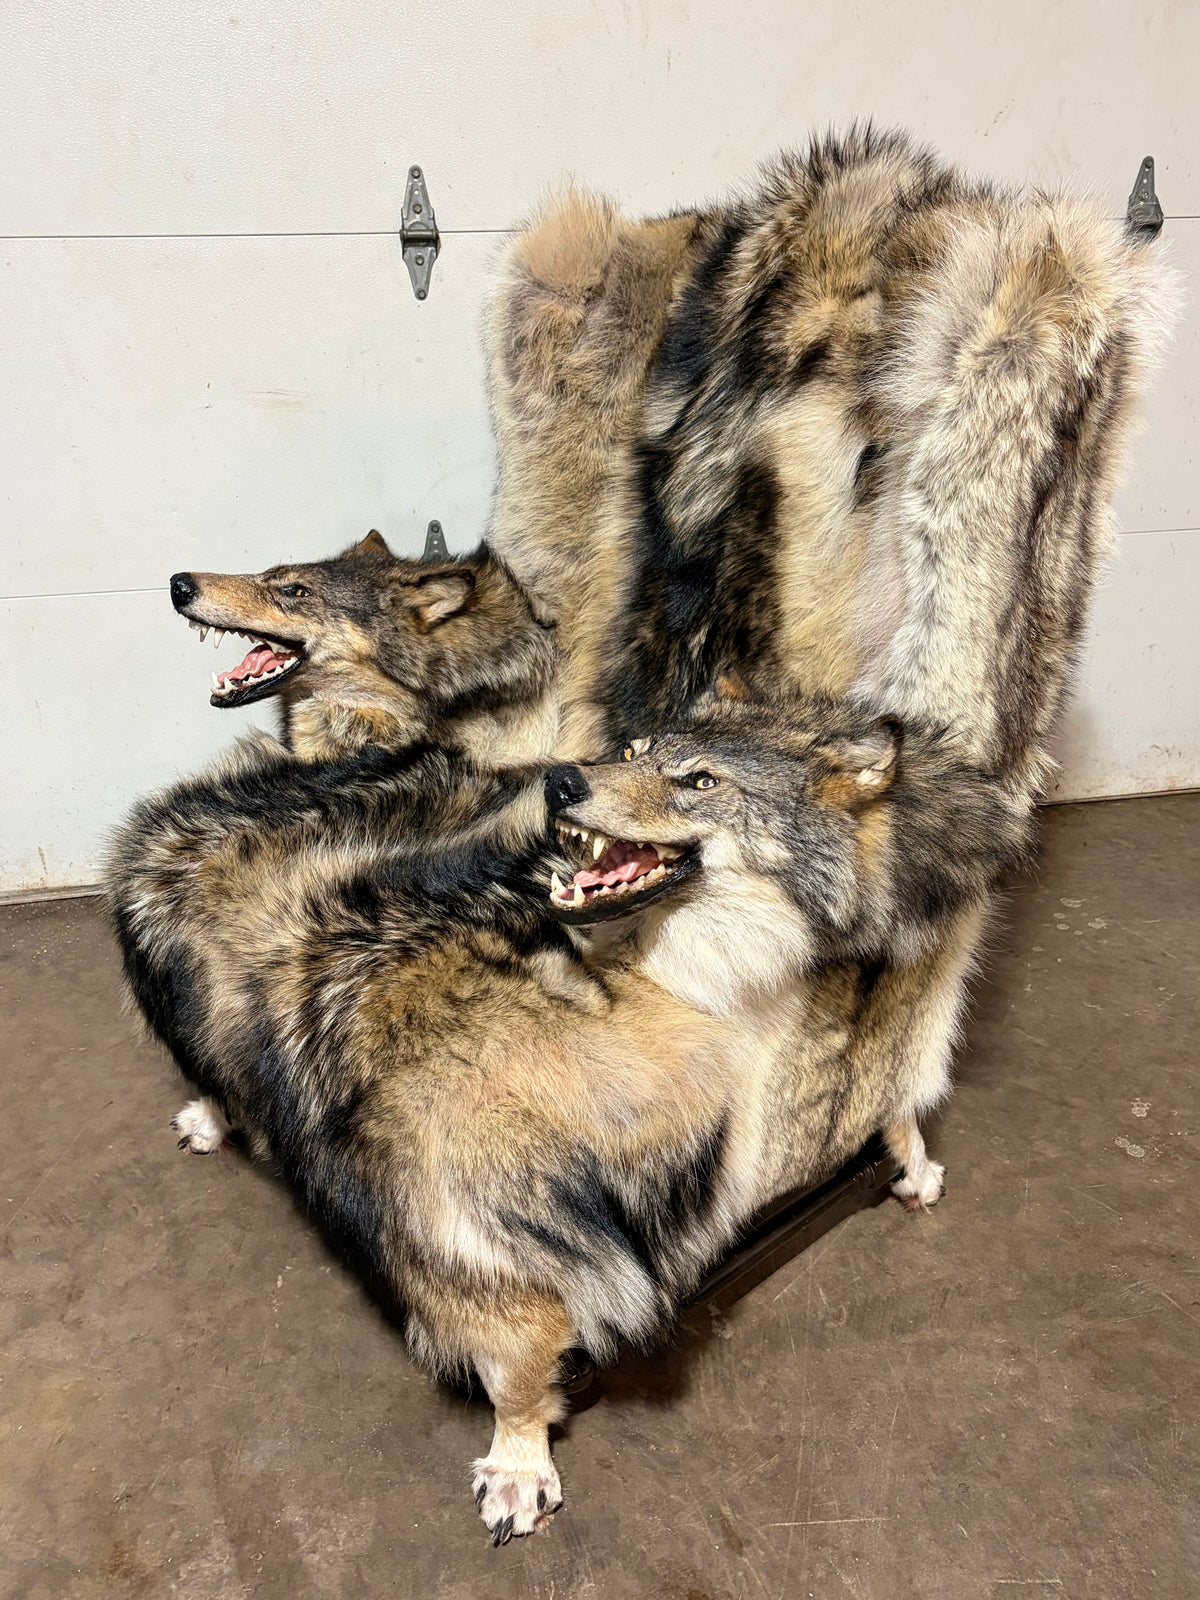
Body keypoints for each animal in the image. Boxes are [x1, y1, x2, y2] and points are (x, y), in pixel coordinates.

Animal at [108, 686, 1031, 1541]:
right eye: (630, 750)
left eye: (700, 781)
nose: (560, 780)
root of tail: (263, 773)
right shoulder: (456, 1215)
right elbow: (521, 1356)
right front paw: (521, 1458)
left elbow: (898, 1097)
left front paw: (912, 1159)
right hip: (153, 921)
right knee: (211, 1064)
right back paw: (212, 1117)